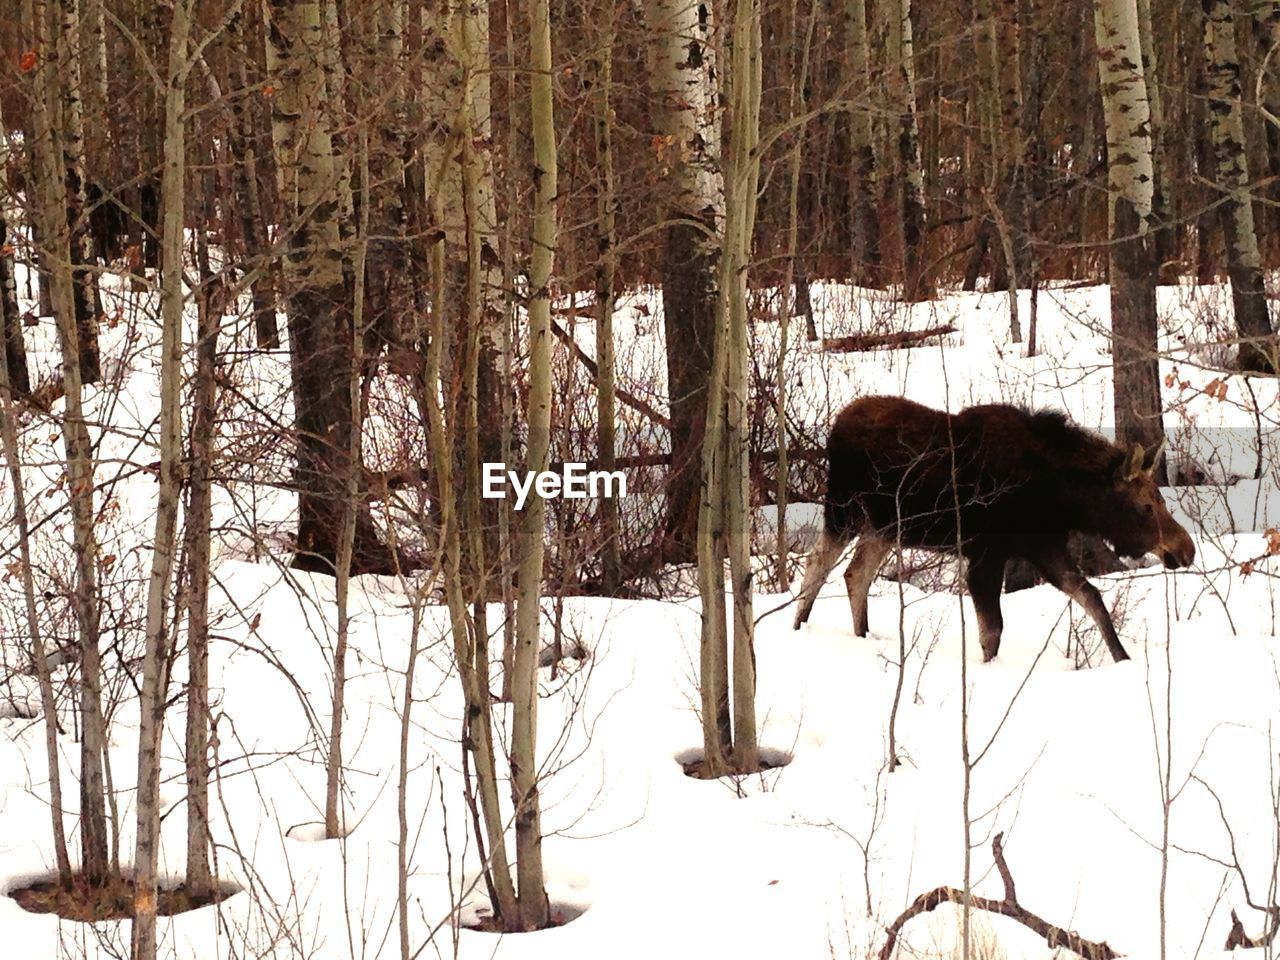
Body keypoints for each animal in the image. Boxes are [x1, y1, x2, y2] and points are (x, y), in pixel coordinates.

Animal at [788, 396, 1198, 660]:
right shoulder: (986, 554)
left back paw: (861, 635)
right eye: (1146, 506)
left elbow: (1092, 598)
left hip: (885, 528)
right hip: (845, 510)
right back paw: (797, 627)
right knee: (818, 562)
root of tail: (835, 426)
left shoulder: (1045, 549)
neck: (1061, 497)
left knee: (856, 573)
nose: (1186, 549)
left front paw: (1122, 658)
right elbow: (992, 630)